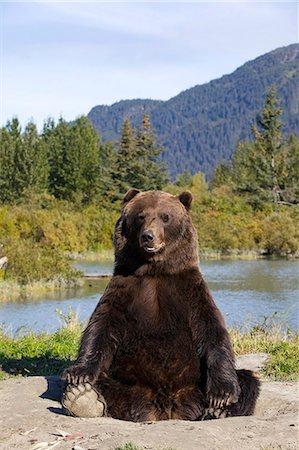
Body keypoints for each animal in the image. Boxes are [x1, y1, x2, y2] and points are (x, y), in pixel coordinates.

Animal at [62, 188, 260, 420]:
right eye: (140, 216)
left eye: (165, 217)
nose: (148, 236)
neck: (154, 270)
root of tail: (168, 407)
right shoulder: (125, 287)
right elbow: (100, 327)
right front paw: (77, 374)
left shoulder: (188, 291)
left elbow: (211, 330)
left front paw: (222, 395)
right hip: (126, 381)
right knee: (104, 381)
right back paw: (82, 398)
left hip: (195, 384)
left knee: (248, 379)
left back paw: (218, 411)